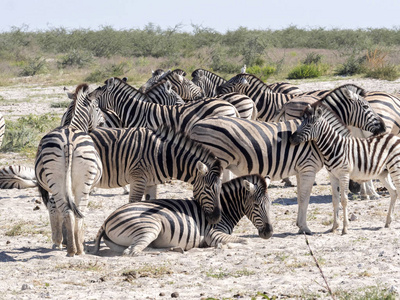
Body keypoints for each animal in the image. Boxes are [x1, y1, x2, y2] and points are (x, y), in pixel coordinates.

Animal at [34, 84, 103, 255]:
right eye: (97, 107)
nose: (104, 123)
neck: (71, 125)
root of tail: (68, 140)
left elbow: (55, 208)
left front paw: (59, 241)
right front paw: (59, 240)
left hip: (58, 181)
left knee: (69, 211)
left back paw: (73, 248)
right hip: (80, 183)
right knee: (76, 212)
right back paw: (77, 248)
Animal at [88, 125, 223, 224]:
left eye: (220, 189)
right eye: (207, 188)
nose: (216, 218)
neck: (162, 154)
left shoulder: (151, 183)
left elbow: (150, 202)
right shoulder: (138, 179)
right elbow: (133, 203)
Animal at [92, 173, 272, 255]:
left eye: (270, 205)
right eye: (256, 205)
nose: (269, 233)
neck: (224, 208)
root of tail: (107, 219)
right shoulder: (213, 233)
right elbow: (246, 241)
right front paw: (225, 245)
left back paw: (175, 248)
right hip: (151, 226)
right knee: (133, 251)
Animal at [189, 99, 386, 233]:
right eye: (367, 107)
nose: (384, 127)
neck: (318, 140)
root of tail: (195, 125)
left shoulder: (300, 170)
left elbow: (300, 197)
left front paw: (300, 225)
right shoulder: (308, 169)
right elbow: (305, 198)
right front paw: (305, 228)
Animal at [290, 103, 400, 234]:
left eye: (309, 125)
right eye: (301, 122)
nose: (291, 138)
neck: (335, 147)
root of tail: (395, 137)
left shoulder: (344, 175)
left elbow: (344, 200)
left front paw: (345, 228)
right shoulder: (332, 175)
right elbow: (335, 200)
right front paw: (334, 227)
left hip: (396, 168)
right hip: (383, 173)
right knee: (394, 192)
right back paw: (388, 222)